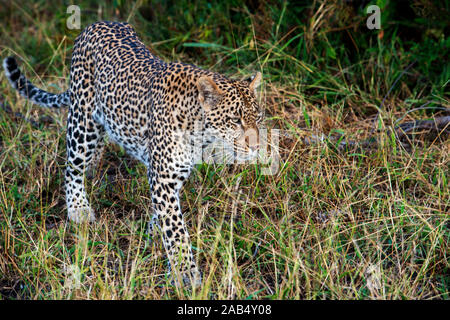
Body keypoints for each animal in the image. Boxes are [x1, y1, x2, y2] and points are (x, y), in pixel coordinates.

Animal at [2, 21, 264, 286]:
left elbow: (166, 216)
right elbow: (176, 229)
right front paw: (185, 273)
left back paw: (94, 169)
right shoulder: (163, 177)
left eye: (259, 117)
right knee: (72, 167)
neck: (198, 130)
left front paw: (154, 233)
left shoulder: (174, 175)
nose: (257, 146)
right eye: (235, 120)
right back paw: (78, 208)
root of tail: (94, 25)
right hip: (82, 122)